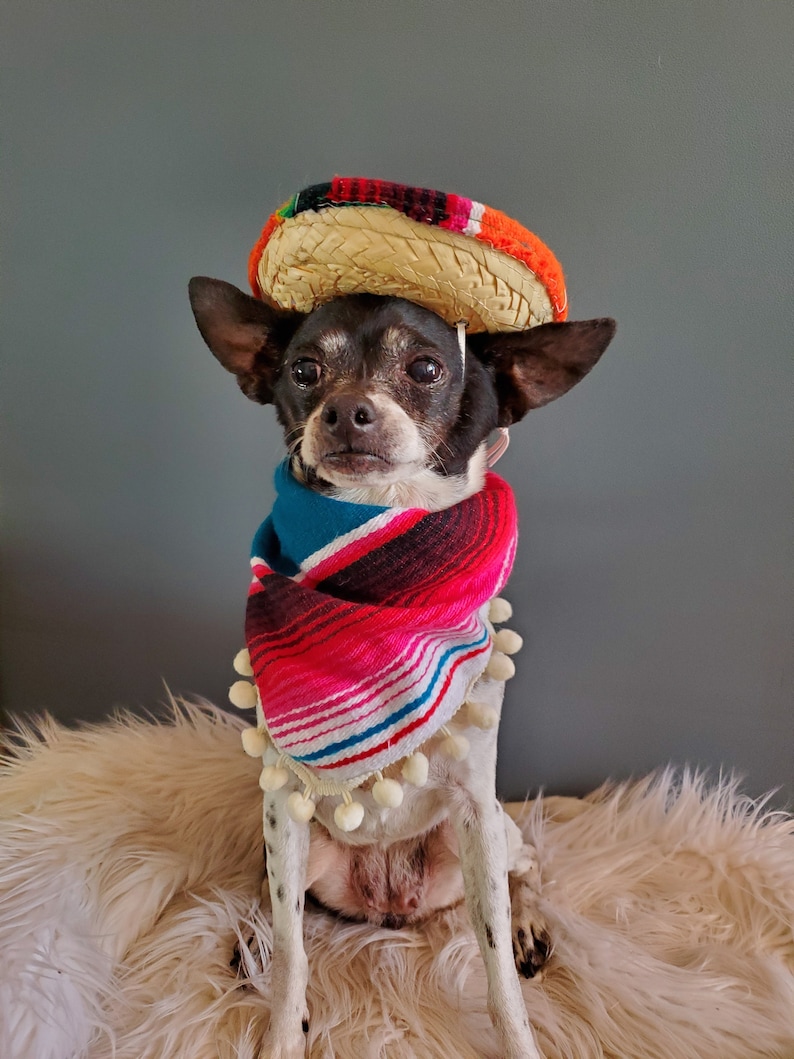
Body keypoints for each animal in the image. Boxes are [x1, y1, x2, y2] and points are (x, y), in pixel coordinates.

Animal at [189, 275, 618, 1059]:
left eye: (424, 368)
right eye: (304, 371)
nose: (345, 409)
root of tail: (390, 905)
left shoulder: (476, 806)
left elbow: (496, 970)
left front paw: (517, 1032)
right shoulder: (282, 806)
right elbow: (294, 953)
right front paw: (281, 1029)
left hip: (479, 832)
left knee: (524, 870)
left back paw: (526, 922)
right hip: (299, 842)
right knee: (273, 899)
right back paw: (255, 936)